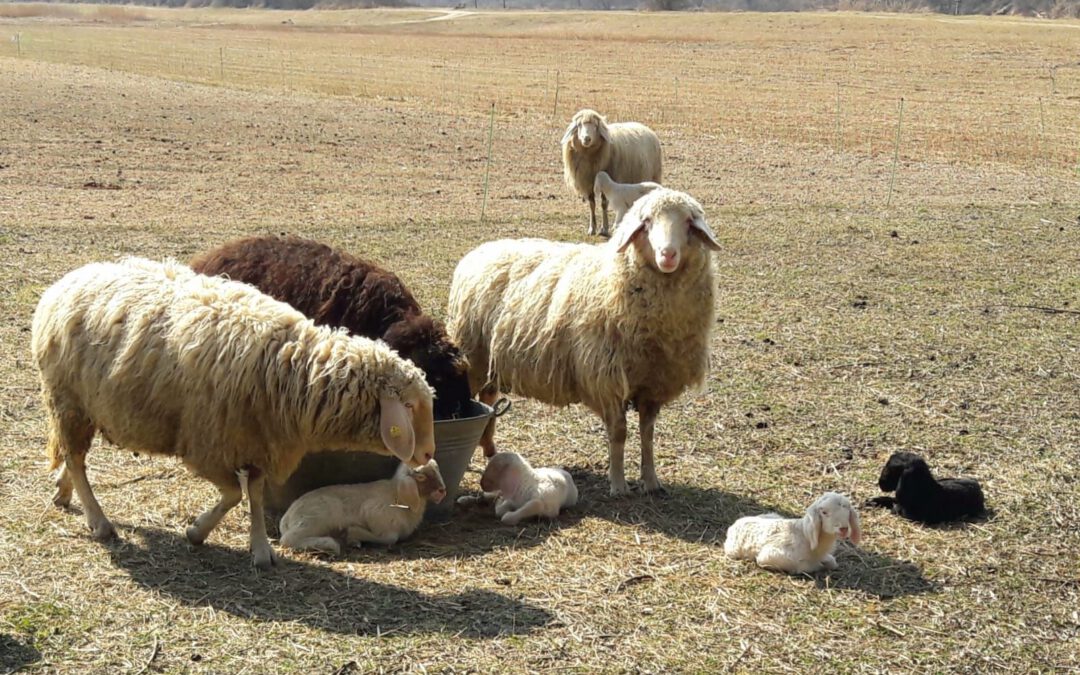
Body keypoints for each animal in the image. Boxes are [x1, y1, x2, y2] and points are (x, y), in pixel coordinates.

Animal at [280, 457, 449, 552]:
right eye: (421, 477)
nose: (442, 491)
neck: (397, 496)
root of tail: (287, 516)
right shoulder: (374, 512)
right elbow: (390, 538)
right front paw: (353, 534)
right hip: (316, 518)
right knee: (288, 540)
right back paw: (330, 543)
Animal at [442, 187, 721, 494]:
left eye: (689, 222)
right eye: (646, 222)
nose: (667, 254)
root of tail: (480, 250)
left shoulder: (653, 382)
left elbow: (647, 434)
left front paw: (651, 481)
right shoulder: (606, 379)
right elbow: (619, 433)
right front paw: (618, 485)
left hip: (492, 359)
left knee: (490, 398)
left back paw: (490, 447)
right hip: (473, 355)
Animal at [561, 108, 660, 236]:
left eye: (595, 126)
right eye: (579, 125)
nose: (586, 139)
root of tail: (644, 126)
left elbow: (604, 204)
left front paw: (604, 228)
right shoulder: (588, 184)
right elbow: (592, 204)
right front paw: (592, 228)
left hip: (654, 175)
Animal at [721, 490, 864, 574]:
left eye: (847, 509)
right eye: (824, 512)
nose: (843, 529)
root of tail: (735, 523)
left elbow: (833, 562)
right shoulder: (768, 556)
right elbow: (805, 567)